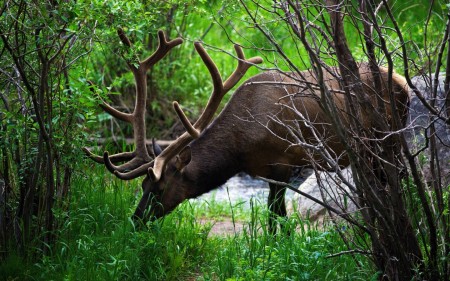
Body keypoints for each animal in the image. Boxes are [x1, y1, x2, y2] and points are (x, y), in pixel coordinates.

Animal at [82, 29, 410, 233]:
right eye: (142, 186)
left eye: (159, 188)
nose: (135, 220)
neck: (240, 150)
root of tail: (401, 80)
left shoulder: (283, 163)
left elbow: (275, 217)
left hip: (388, 140)